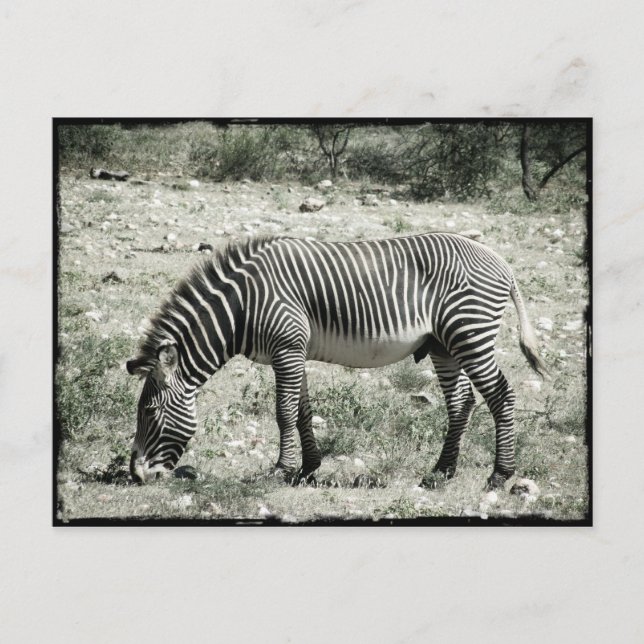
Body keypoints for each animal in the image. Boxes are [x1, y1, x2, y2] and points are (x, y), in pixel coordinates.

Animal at [126, 232, 548, 489]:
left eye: (148, 412)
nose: (137, 476)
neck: (243, 305)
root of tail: (499, 260)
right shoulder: (293, 351)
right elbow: (301, 412)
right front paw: (308, 469)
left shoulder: (287, 346)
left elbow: (283, 412)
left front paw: (280, 470)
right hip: (444, 344)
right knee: (461, 402)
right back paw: (441, 472)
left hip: (469, 332)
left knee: (501, 397)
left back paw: (500, 475)